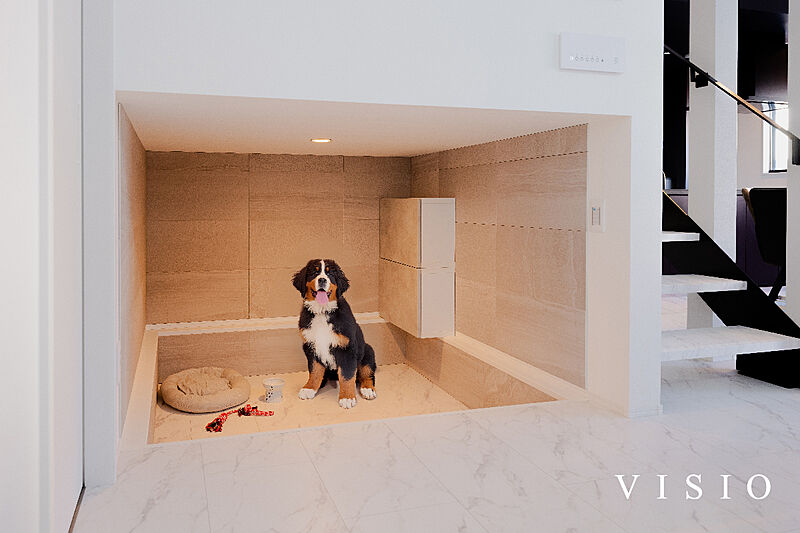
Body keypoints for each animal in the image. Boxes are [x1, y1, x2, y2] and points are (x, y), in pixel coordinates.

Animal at [291, 259, 377, 409]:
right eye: (314, 272)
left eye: (330, 274)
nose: (322, 280)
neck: (322, 311)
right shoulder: (310, 346)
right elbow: (314, 371)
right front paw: (310, 388)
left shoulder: (347, 348)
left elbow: (347, 375)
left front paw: (347, 397)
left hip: (368, 350)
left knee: (367, 373)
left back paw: (367, 389)